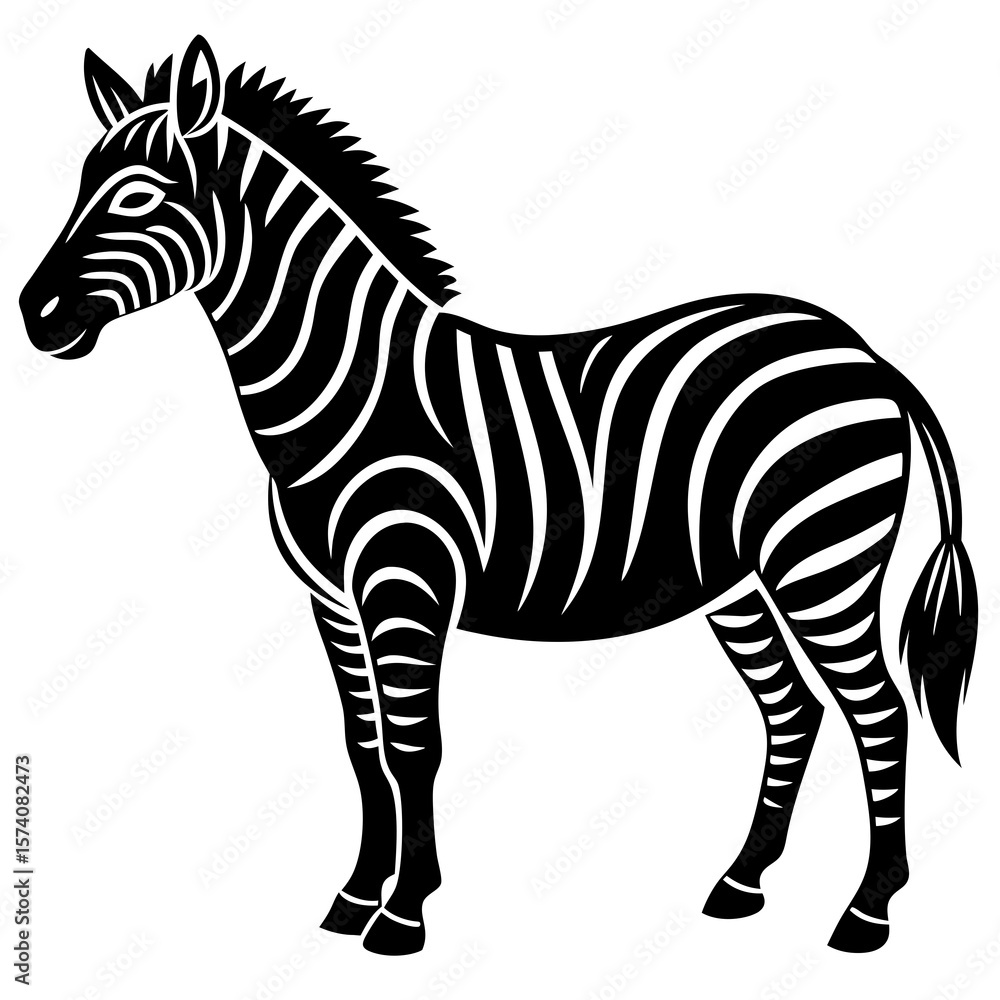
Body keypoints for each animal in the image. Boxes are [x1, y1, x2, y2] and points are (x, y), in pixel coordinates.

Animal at [19, 36, 978, 956]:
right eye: (79, 188)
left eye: (137, 198)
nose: (33, 316)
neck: (348, 388)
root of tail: (861, 349)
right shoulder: (332, 600)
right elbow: (363, 747)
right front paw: (355, 896)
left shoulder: (406, 580)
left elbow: (414, 746)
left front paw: (403, 913)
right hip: (739, 584)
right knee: (793, 709)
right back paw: (742, 885)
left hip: (824, 564)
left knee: (879, 713)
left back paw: (867, 912)